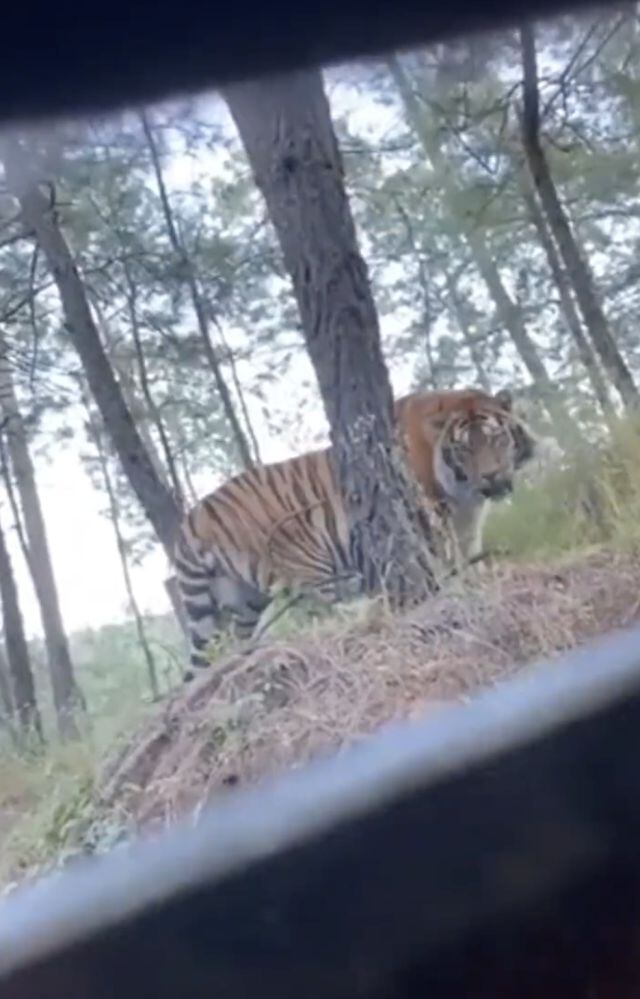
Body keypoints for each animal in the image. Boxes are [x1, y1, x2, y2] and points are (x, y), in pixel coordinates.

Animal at [175, 386, 536, 673]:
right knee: (333, 610)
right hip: (306, 569)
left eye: (498, 438)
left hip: (239, 602)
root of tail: (191, 519)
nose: (491, 476)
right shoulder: (431, 519)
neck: (463, 493)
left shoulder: (467, 524)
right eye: (465, 448)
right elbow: (442, 561)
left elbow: (469, 556)